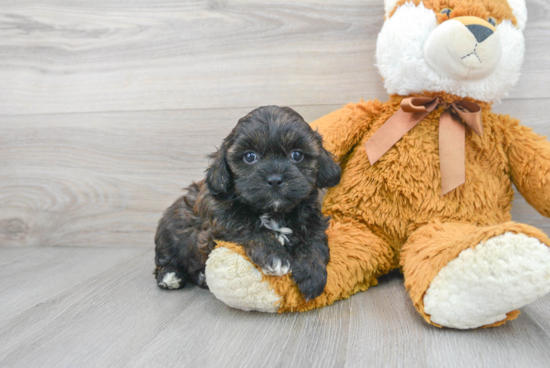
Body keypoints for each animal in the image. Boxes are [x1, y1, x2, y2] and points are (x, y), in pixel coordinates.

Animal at [155, 105, 342, 300]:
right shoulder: (217, 221)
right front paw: (274, 255)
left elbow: (315, 240)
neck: (274, 212)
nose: (275, 179)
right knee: (164, 261)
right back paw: (170, 276)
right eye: (250, 157)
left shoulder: (312, 218)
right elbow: (248, 227)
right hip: (169, 235)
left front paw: (312, 273)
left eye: (297, 155)